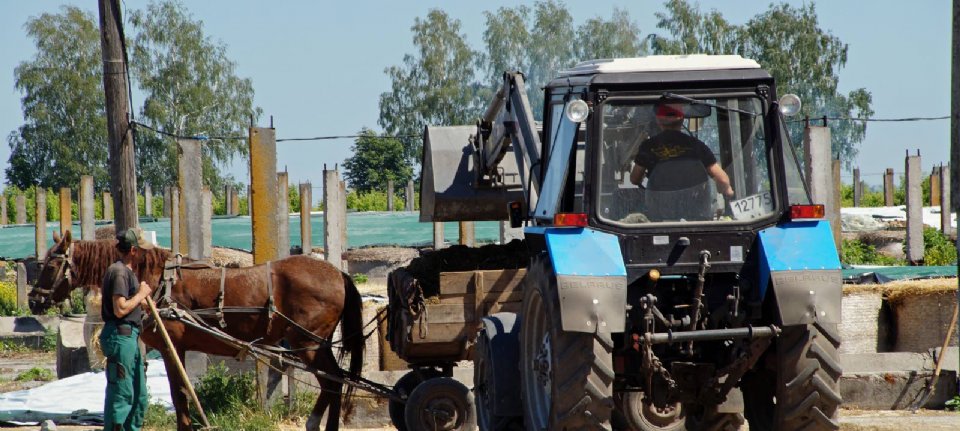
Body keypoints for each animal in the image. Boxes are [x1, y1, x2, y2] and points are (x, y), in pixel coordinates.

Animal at [32, 231, 364, 431]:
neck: (154, 279)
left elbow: (179, 393)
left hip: (309, 344)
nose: (34, 300)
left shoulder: (171, 347)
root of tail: (338, 273)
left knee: (333, 382)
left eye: (50, 265)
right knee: (335, 382)